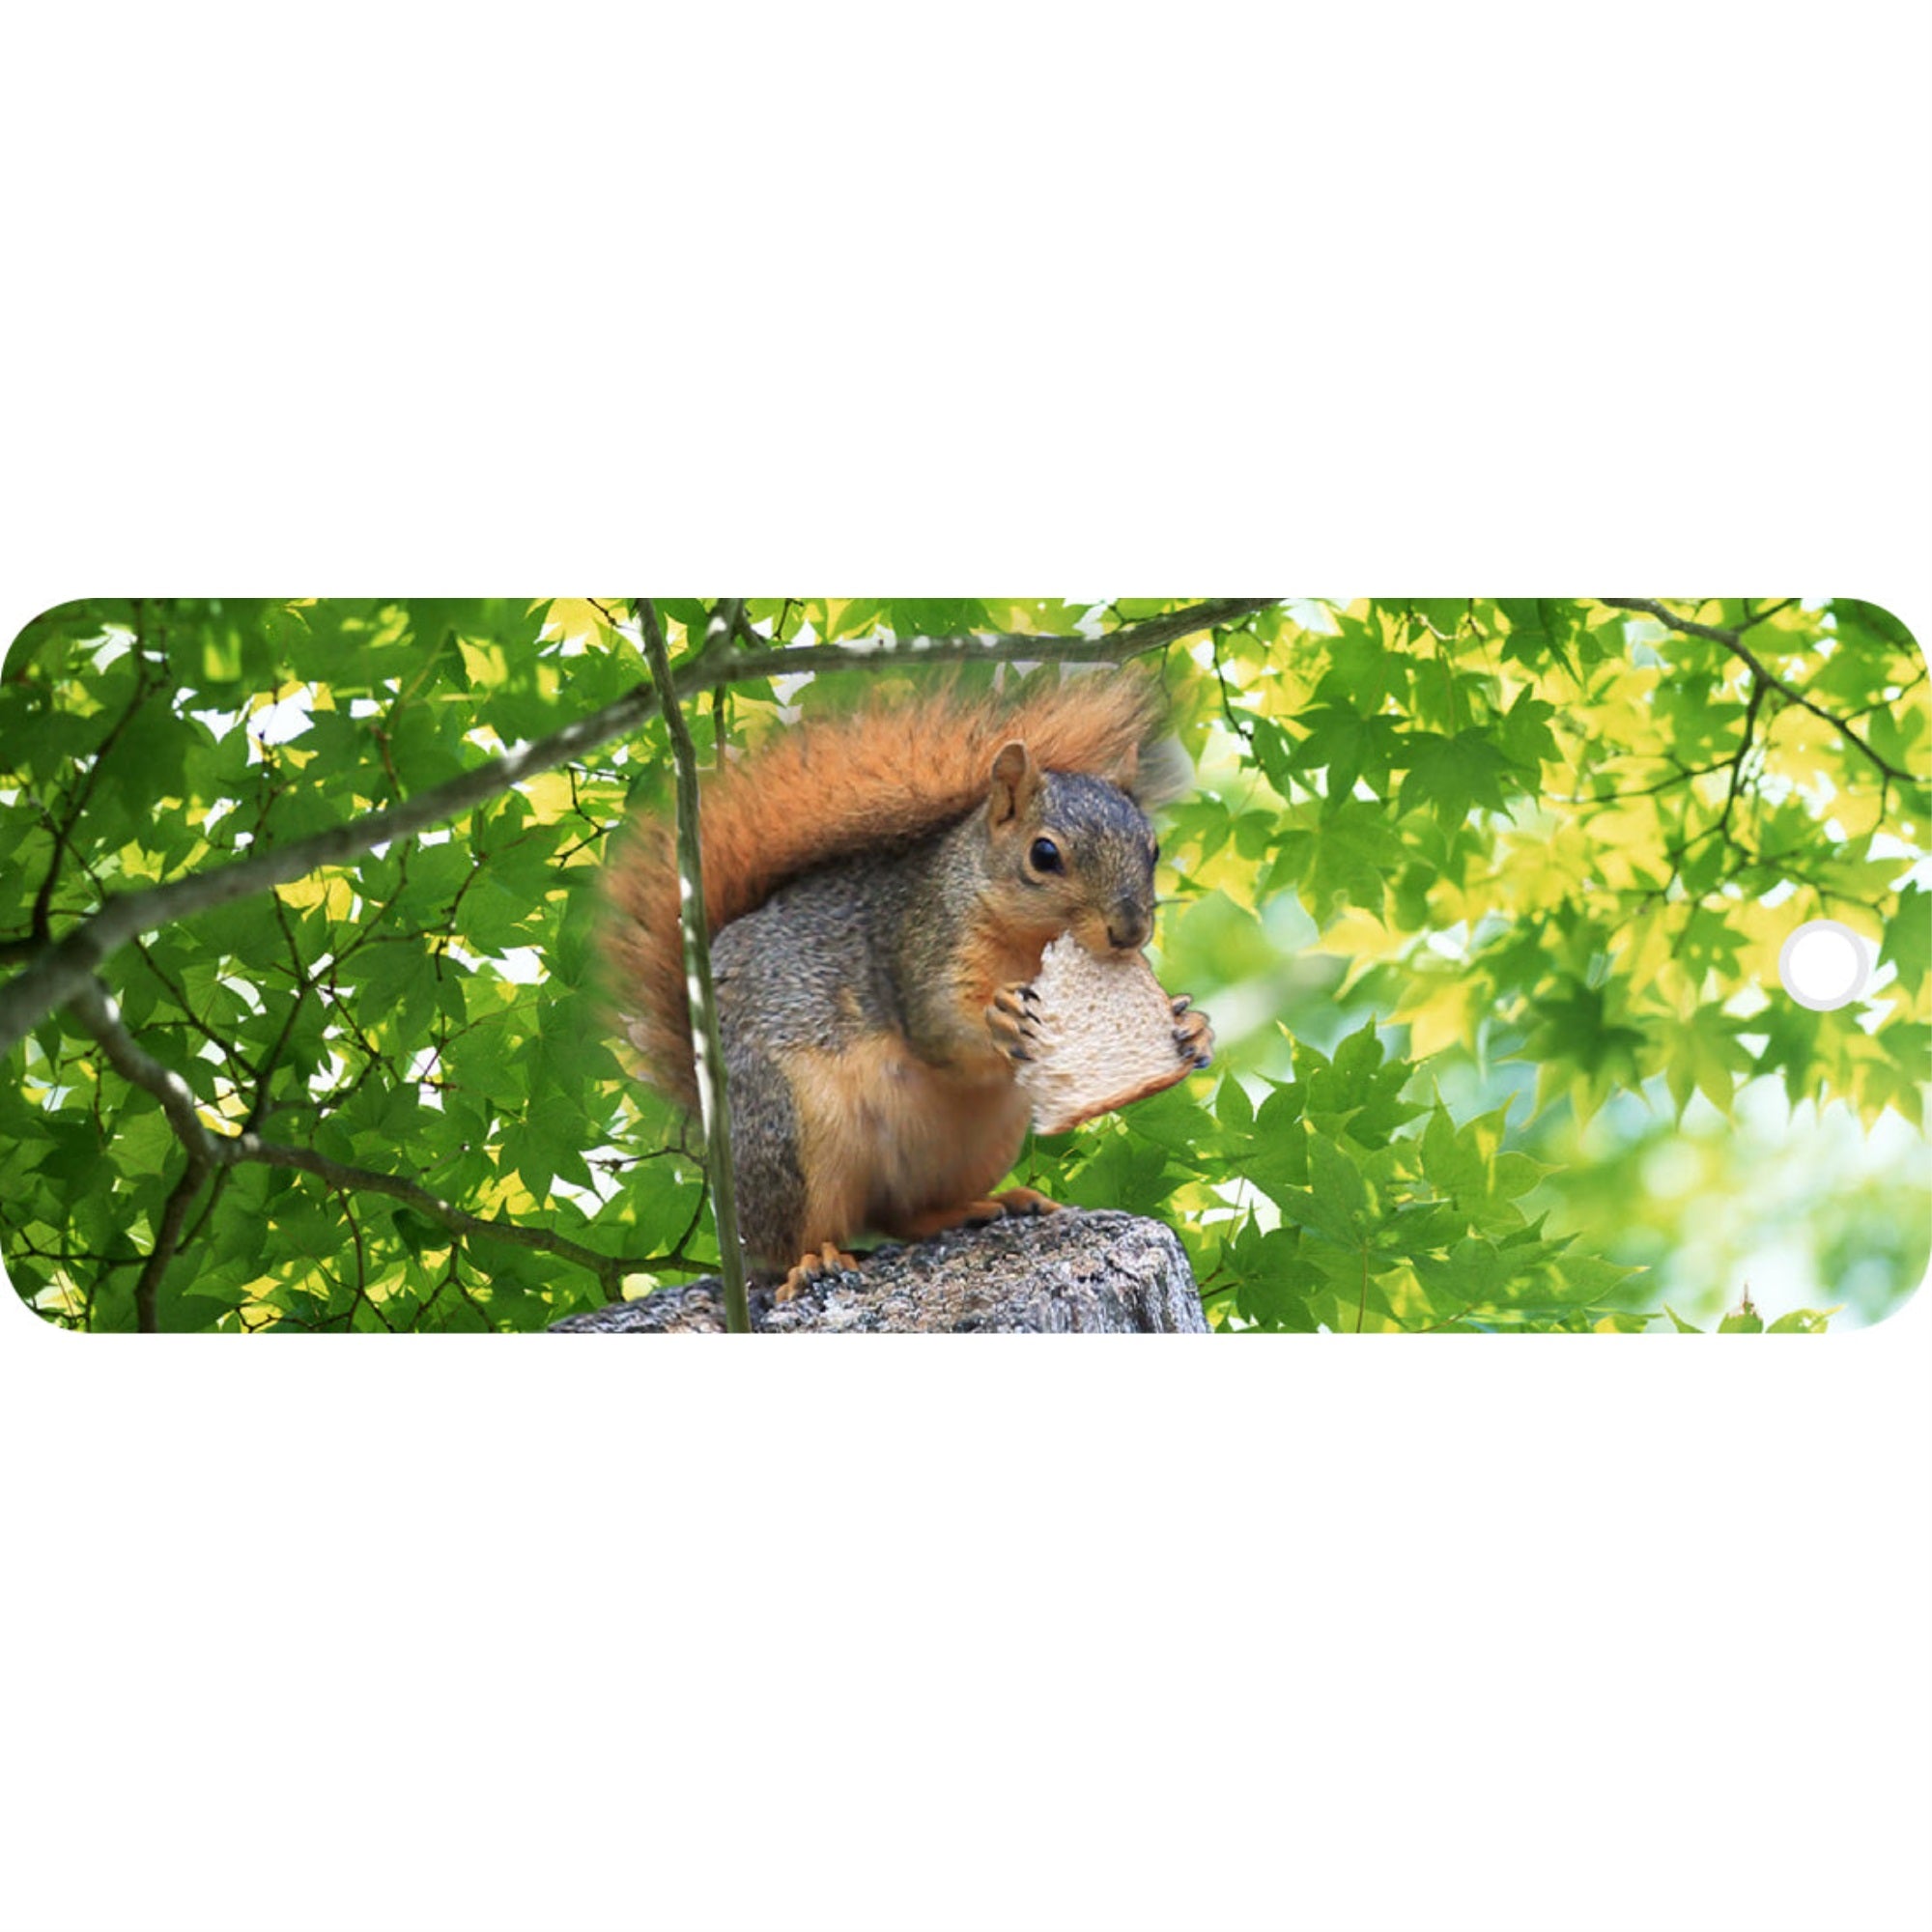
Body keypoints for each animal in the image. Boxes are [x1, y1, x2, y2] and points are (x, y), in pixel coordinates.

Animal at [601, 673, 1215, 1299]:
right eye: (1044, 854)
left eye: (1154, 849)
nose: (1130, 930)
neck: (1029, 944)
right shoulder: (922, 946)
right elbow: (940, 1030)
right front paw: (1000, 1021)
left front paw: (1191, 1027)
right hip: (791, 1131)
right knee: (787, 1244)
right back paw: (812, 1260)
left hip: (982, 1141)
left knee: (903, 1214)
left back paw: (984, 1206)